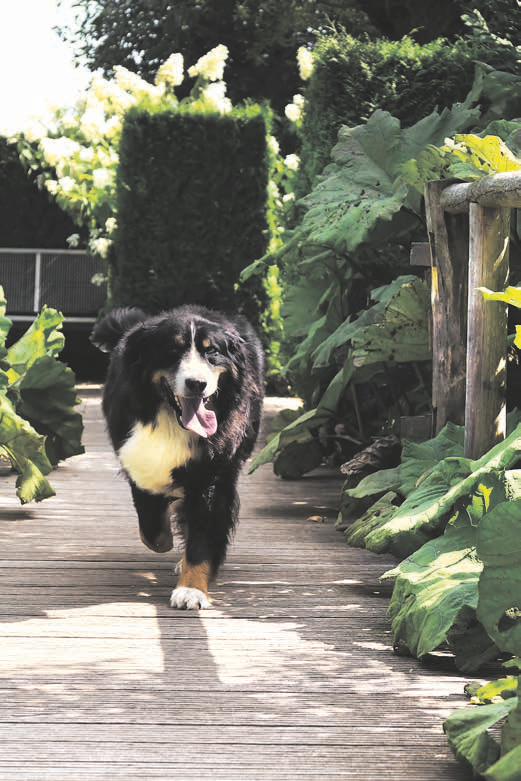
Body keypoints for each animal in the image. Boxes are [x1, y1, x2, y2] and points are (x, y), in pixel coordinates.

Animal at [90, 304, 264, 608]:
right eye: (173, 350)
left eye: (211, 352)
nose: (197, 383)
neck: (172, 420)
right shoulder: (137, 458)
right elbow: (151, 527)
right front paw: (165, 543)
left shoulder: (212, 474)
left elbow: (202, 533)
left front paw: (191, 588)